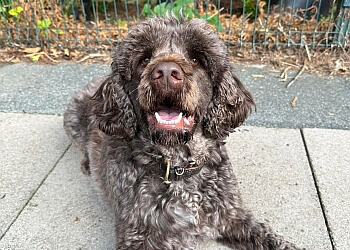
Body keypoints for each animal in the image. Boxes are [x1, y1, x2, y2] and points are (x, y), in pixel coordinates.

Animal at [63, 16, 304, 249]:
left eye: (196, 60)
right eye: (144, 60)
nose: (166, 72)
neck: (178, 168)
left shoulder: (232, 216)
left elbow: (271, 239)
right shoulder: (138, 236)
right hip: (72, 119)